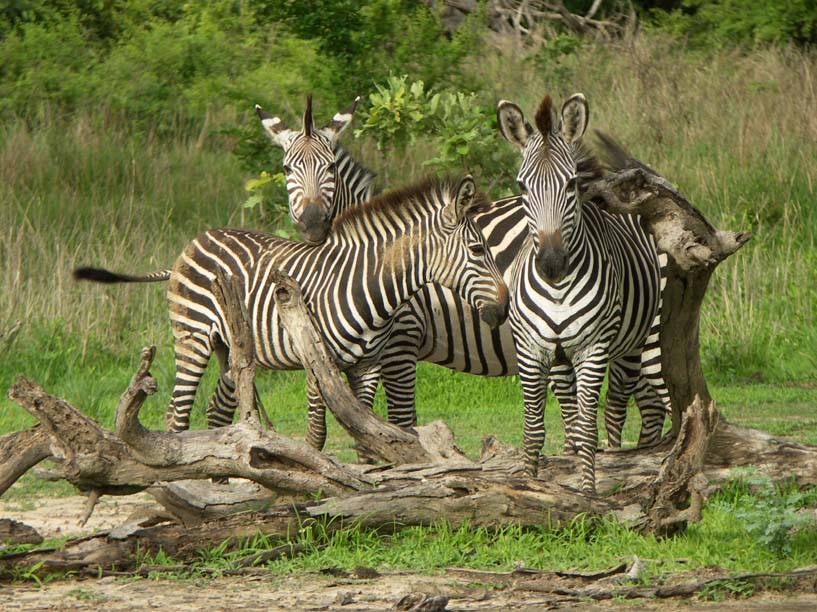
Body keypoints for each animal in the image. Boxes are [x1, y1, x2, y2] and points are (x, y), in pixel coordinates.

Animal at [76, 175, 510, 438]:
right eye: (478, 249)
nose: (504, 309)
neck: (370, 287)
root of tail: (194, 241)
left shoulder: (367, 366)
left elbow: (367, 433)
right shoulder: (317, 364)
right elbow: (317, 434)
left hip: (231, 348)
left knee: (217, 411)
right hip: (192, 339)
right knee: (177, 415)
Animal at [498, 93, 668, 494]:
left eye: (571, 183)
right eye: (522, 186)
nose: (551, 262)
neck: (557, 289)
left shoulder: (594, 348)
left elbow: (589, 428)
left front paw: (587, 492)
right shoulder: (530, 349)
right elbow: (534, 429)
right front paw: (530, 487)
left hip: (633, 344)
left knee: (616, 409)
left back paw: (617, 455)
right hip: (561, 358)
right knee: (570, 409)